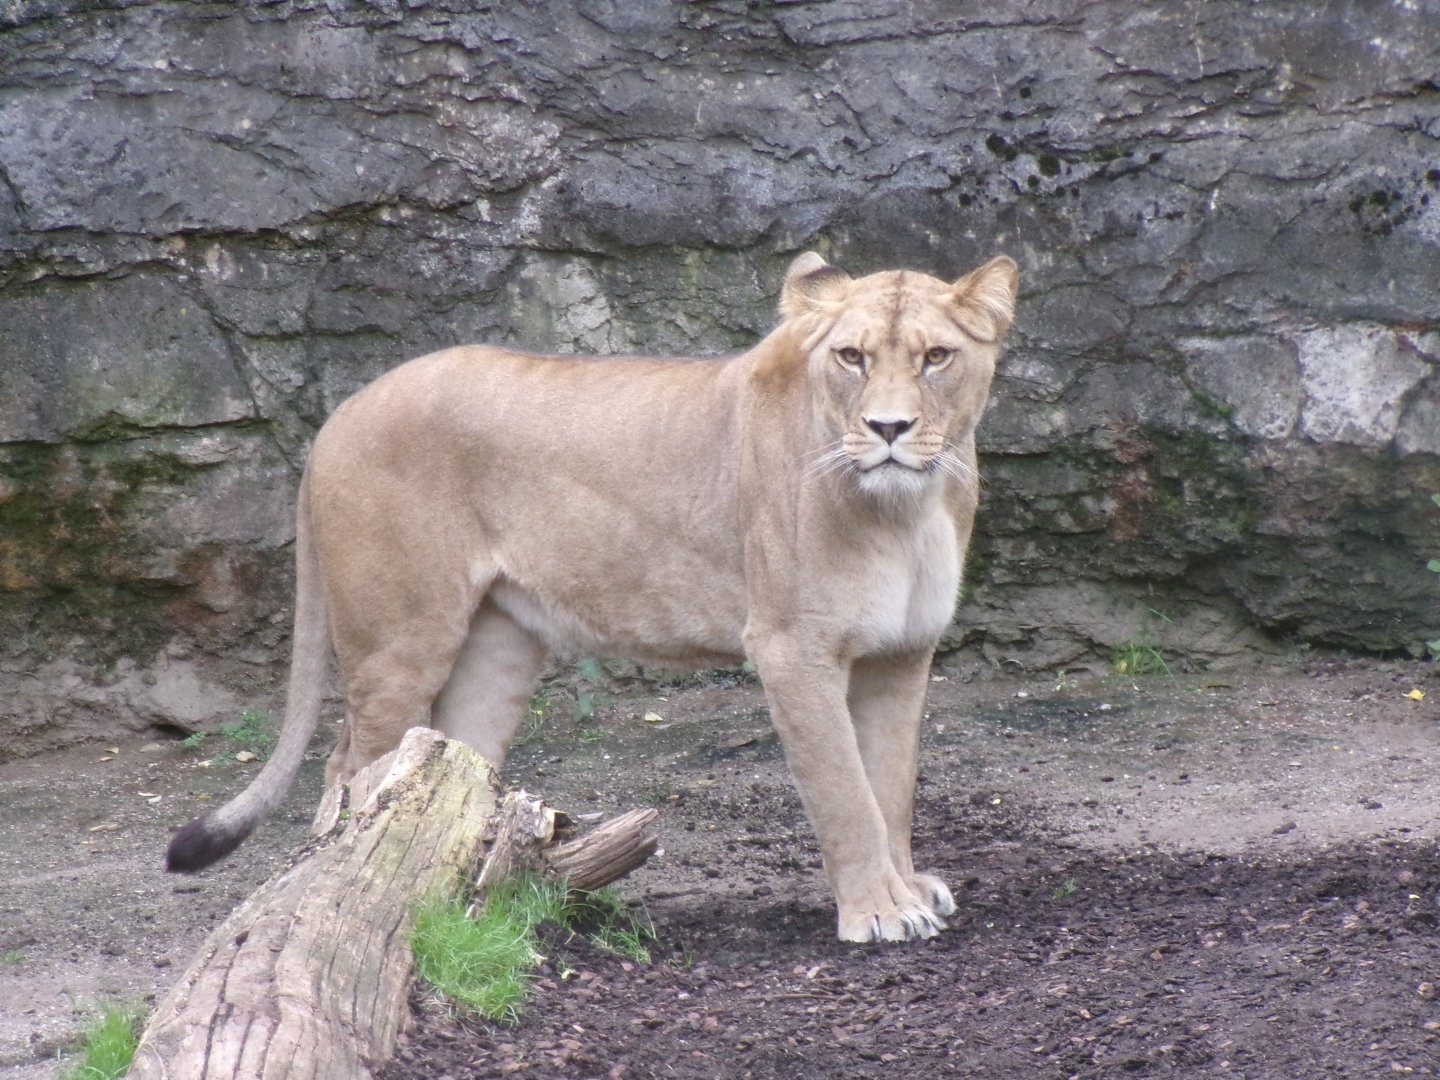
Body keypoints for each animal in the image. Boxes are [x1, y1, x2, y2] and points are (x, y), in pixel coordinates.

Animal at [166, 250, 1019, 943]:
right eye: (851, 356)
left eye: (937, 357)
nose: (888, 428)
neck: (909, 513)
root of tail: (341, 411)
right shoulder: (791, 647)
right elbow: (846, 793)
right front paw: (877, 912)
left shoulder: (903, 651)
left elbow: (891, 786)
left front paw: (907, 888)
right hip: (399, 641)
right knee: (354, 766)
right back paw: (359, 892)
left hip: (497, 646)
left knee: (452, 762)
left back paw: (461, 901)